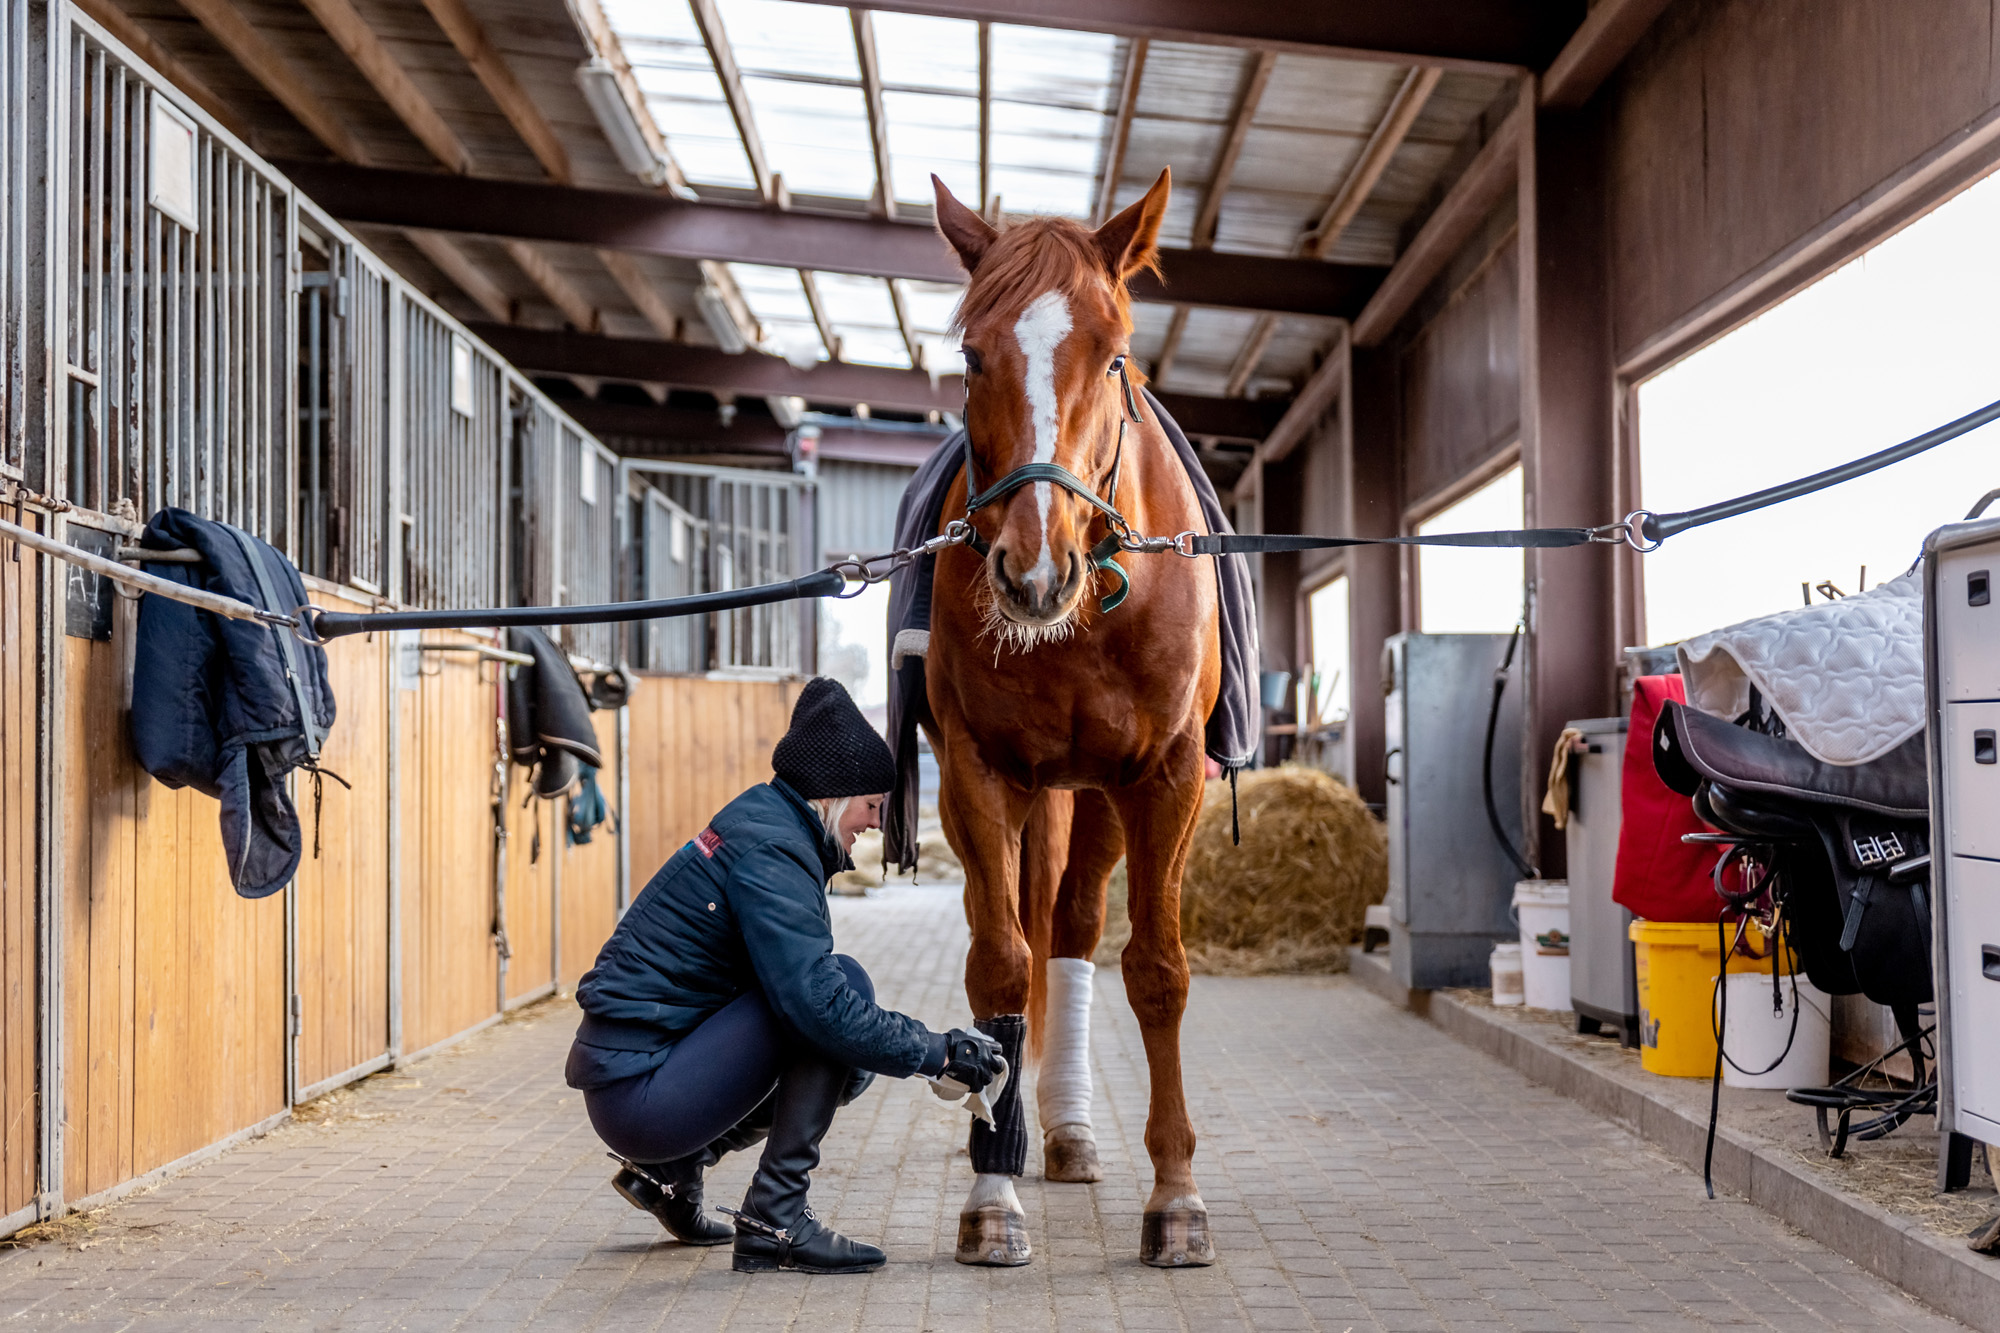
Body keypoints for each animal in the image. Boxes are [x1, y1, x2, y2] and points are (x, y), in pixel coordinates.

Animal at [922, 167, 1222, 1269]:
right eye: (972, 354)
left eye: (1113, 352)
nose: (1032, 566)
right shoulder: (976, 771)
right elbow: (1000, 966)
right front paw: (990, 1194)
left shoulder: (1166, 776)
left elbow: (1155, 970)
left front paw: (1175, 1195)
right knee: (1018, 928)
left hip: (1095, 795)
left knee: (1078, 924)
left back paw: (1070, 1130)